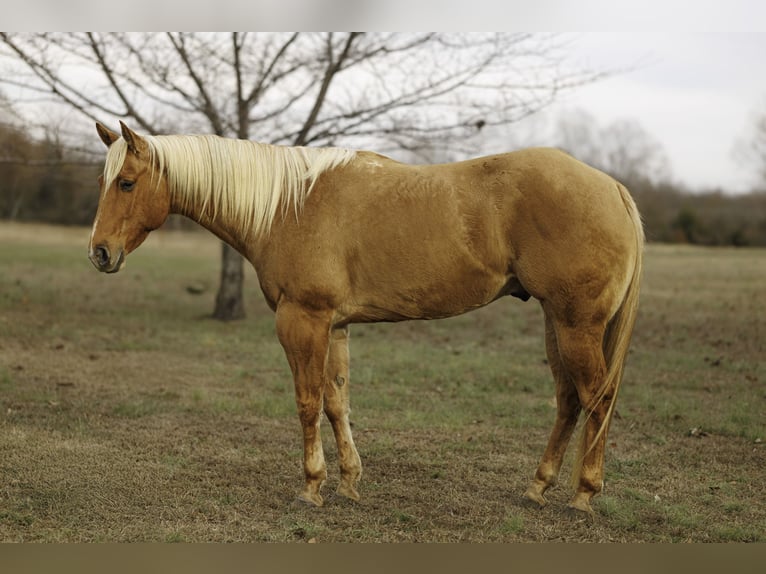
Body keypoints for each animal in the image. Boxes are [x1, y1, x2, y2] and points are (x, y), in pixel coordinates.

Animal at [88, 121, 643, 516]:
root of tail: (613, 187)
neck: (287, 205)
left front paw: (311, 487)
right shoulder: (334, 325)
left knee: (597, 398)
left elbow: (308, 401)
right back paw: (538, 487)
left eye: (127, 182)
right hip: (557, 323)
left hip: (576, 325)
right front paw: (349, 482)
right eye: (105, 181)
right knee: (569, 400)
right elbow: (337, 403)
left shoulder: (303, 320)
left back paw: (583, 495)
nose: (99, 253)